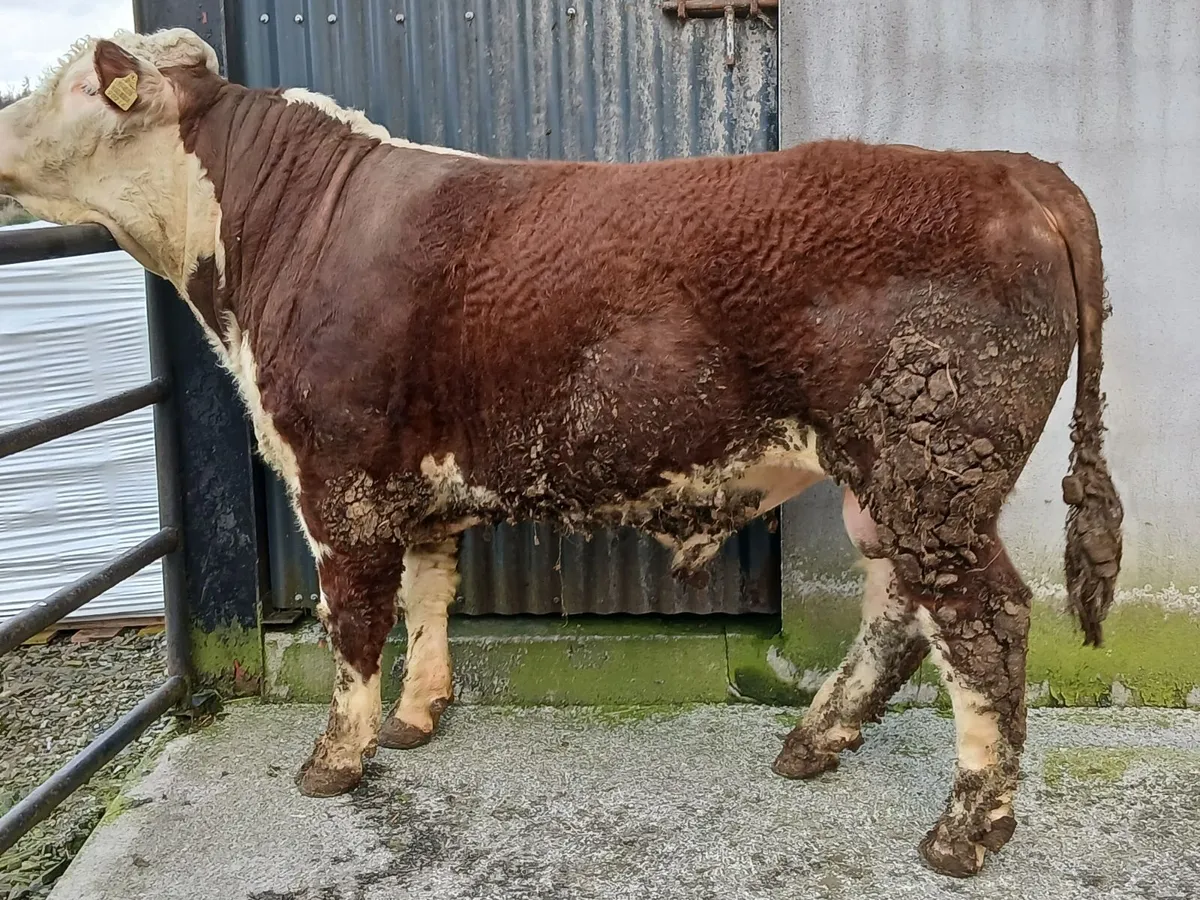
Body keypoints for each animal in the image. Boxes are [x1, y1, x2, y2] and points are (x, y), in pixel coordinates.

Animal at [0, 29, 1123, 877]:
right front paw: (416, 718)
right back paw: (812, 744)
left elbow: (353, 623)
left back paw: (963, 830)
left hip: (933, 462)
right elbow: (430, 592)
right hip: (894, 480)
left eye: (75, 86)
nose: (0, 135)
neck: (270, 233)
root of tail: (1009, 169)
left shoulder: (339, 474)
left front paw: (335, 759)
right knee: (900, 614)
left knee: (984, 623)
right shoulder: (418, 485)